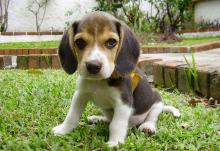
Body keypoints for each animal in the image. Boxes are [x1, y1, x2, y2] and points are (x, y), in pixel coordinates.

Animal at [52, 11, 180, 147]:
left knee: (152, 117)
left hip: (157, 100)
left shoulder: (123, 101)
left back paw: (148, 126)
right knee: (109, 118)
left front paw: (114, 143)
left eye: (111, 42)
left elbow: (116, 124)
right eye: (80, 42)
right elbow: (71, 116)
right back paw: (98, 119)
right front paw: (63, 130)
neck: (100, 81)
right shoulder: (80, 95)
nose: (93, 66)